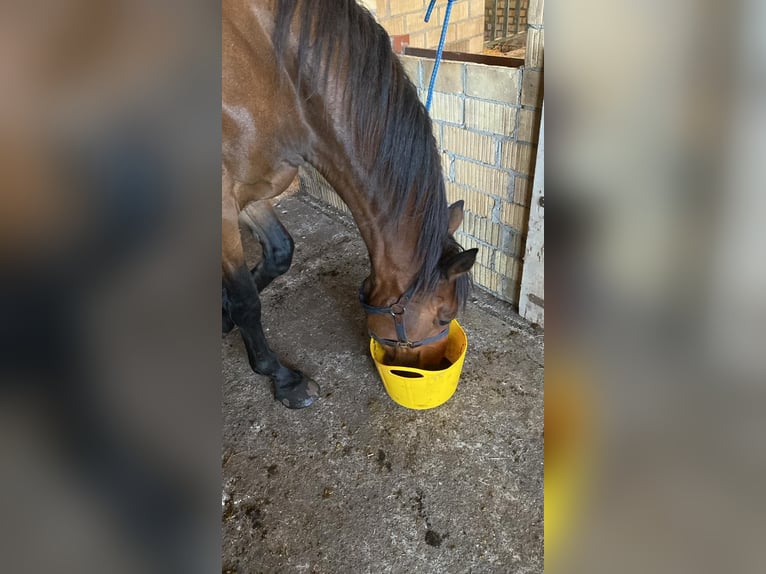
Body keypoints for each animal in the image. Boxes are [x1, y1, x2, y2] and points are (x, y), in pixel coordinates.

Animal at [219, 0, 480, 412]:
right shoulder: (223, 202)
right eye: (444, 317)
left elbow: (278, 254)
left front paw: (223, 316)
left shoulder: (253, 189)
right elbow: (247, 300)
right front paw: (282, 378)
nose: (436, 365)